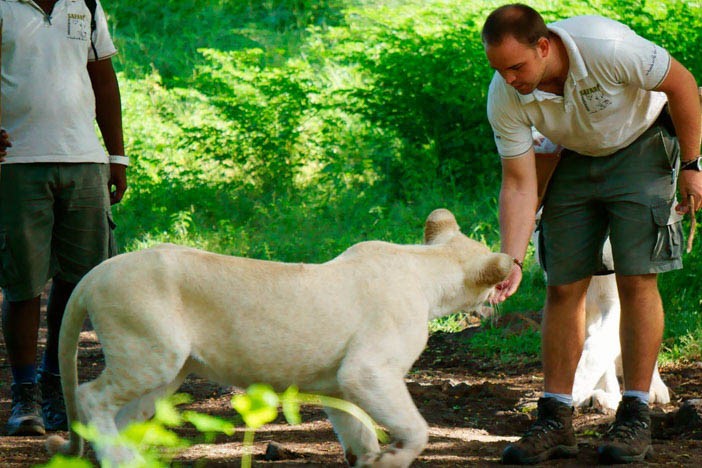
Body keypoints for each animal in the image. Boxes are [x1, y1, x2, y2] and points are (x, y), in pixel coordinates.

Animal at [46, 209, 516, 468]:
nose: (512, 275)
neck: (428, 267)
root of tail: (97, 272)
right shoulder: (368, 371)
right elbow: (416, 429)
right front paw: (393, 460)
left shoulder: (338, 382)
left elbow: (358, 431)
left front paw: (368, 460)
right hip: (150, 353)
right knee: (90, 397)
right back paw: (120, 460)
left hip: (165, 371)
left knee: (124, 417)